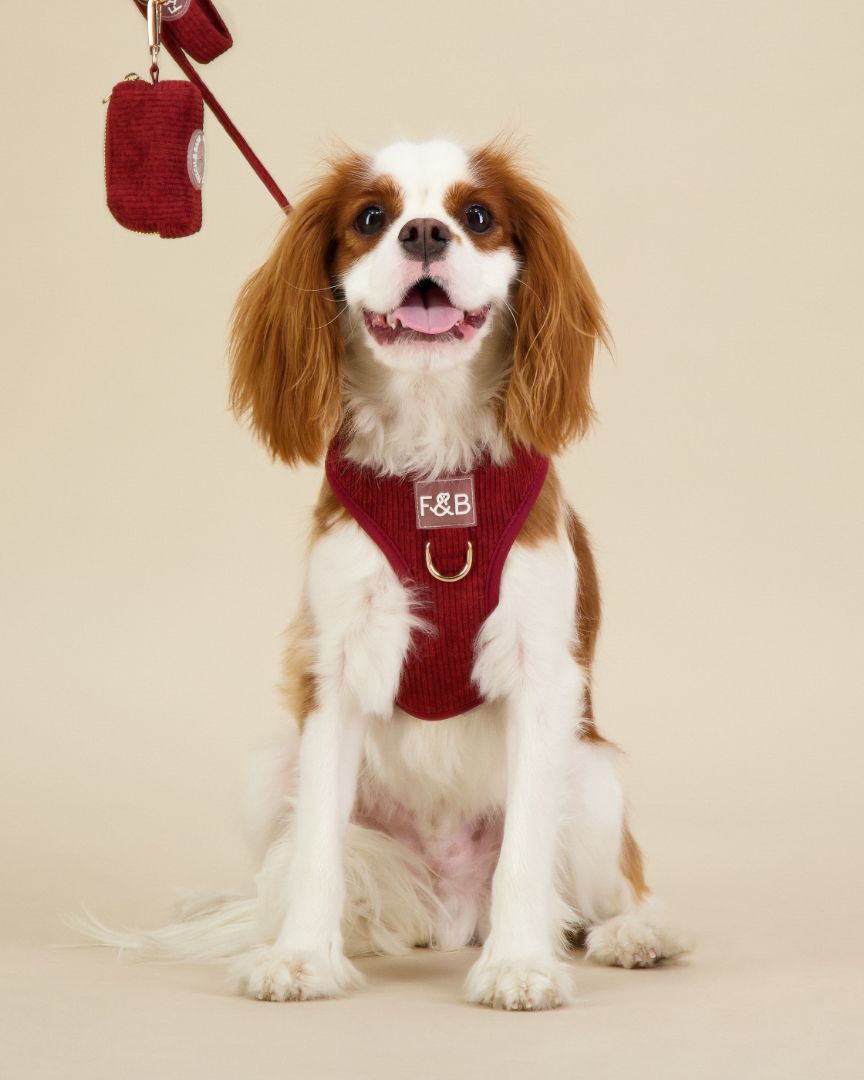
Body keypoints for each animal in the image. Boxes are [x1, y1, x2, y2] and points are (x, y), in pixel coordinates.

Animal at [84, 139, 686, 1006]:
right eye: (371, 217)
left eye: (478, 216)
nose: (425, 232)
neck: (435, 471)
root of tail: (449, 907)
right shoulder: (335, 670)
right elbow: (317, 850)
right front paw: (302, 955)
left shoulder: (543, 674)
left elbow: (526, 852)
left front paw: (519, 963)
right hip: (269, 773)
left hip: (593, 776)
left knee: (620, 888)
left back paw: (635, 933)